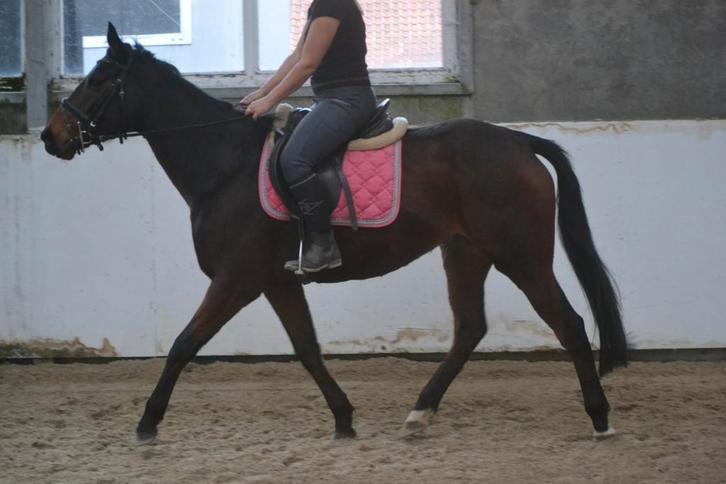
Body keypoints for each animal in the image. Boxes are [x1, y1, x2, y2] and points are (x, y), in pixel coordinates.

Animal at [41, 24, 627, 444]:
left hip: (520, 255)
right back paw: (420, 413)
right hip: (465, 253)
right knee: (469, 330)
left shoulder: (235, 280)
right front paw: (344, 419)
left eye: (98, 81)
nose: (50, 137)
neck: (224, 165)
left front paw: (147, 422)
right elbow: (307, 348)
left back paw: (600, 419)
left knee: (569, 324)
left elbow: (185, 344)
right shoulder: (277, 281)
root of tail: (521, 142)